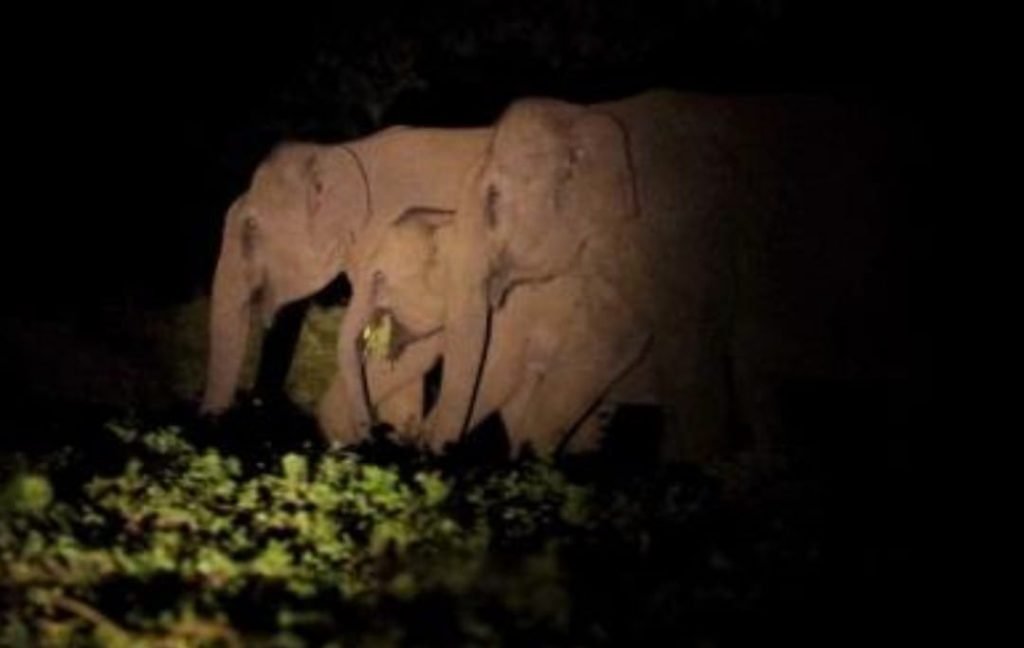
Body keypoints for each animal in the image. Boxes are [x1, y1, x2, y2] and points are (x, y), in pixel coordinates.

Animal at [418, 90, 896, 462]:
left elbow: (691, 361)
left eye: (494, 198)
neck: (593, 114)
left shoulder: (689, 234)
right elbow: (606, 341)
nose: (434, 456)